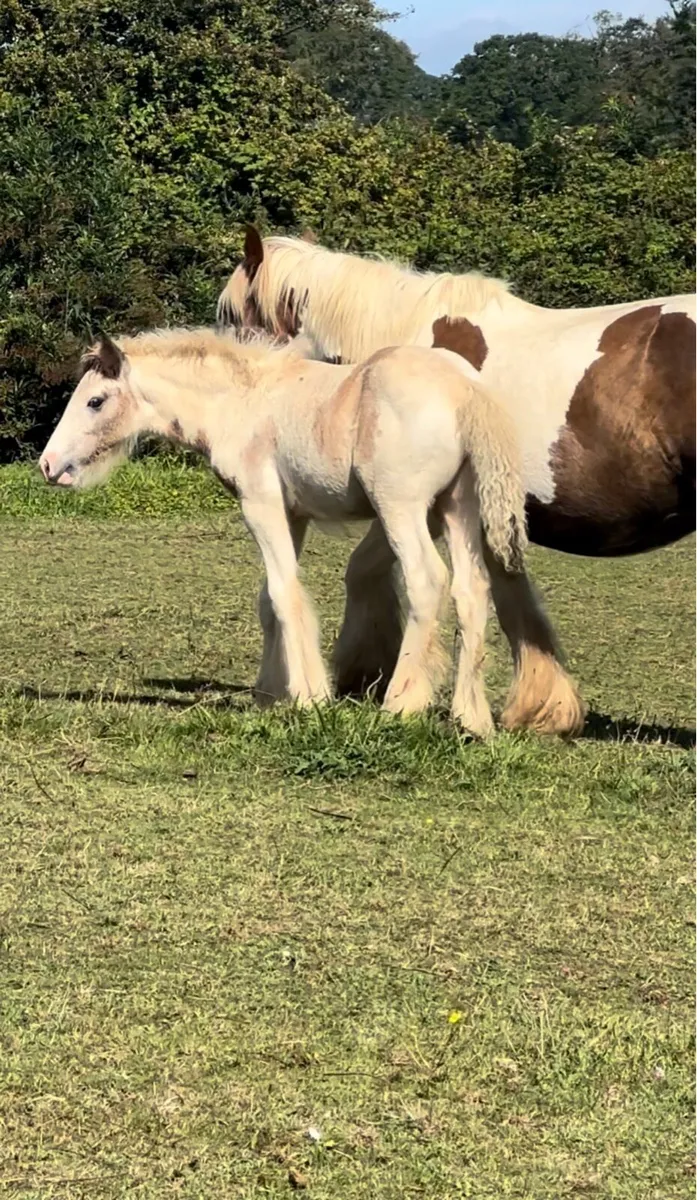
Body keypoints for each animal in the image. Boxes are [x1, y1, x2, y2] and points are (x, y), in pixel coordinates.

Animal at [39, 327, 528, 737]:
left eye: (95, 401)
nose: (48, 465)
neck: (242, 401)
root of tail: (465, 390)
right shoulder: (293, 515)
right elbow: (267, 598)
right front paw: (270, 694)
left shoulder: (260, 503)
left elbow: (282, 590)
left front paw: (310, 697)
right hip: (458, 508)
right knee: (471, 590)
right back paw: (471, 719)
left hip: (400, 508)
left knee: (427, 580)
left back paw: (401, 703)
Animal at [218, 226, 696, 735]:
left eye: (229, 314)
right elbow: (505, 593)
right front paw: (542, 706)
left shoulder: (419, 506)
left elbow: (370, 570)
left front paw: (371, 672)